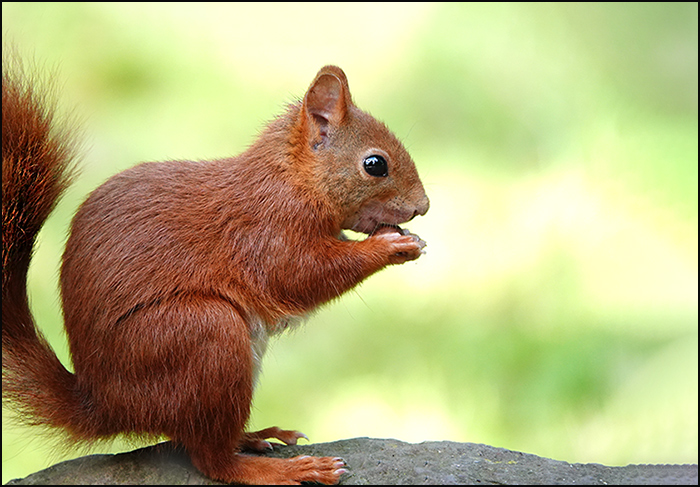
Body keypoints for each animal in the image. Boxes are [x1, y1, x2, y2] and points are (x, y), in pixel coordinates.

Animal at [2, 60, 429, 485]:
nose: (422, 206)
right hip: (205, 334)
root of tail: (104, 406)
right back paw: (284, 469)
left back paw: (255, 436)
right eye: (375, 165)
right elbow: (302, 275)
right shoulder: (265, 234)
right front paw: (390, 247)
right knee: (211, 460)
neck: (291, 179)